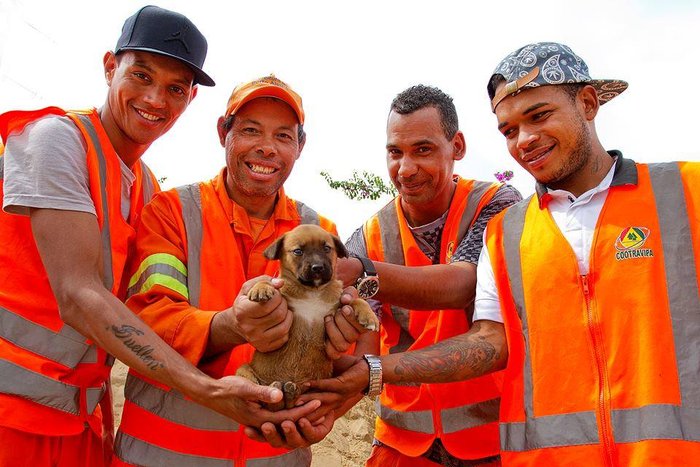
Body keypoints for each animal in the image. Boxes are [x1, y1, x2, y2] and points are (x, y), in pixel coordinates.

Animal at [235, 225, 380, 412]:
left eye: (327, 248)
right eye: (298, 251)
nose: (317, 267)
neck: (312, 292)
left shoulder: (336, 307)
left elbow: (356, 300)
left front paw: (369, 317)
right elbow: (270, 282)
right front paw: (260, 288)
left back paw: (291, 391)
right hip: (244, 370)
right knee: (267, 400)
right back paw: (278, 390)